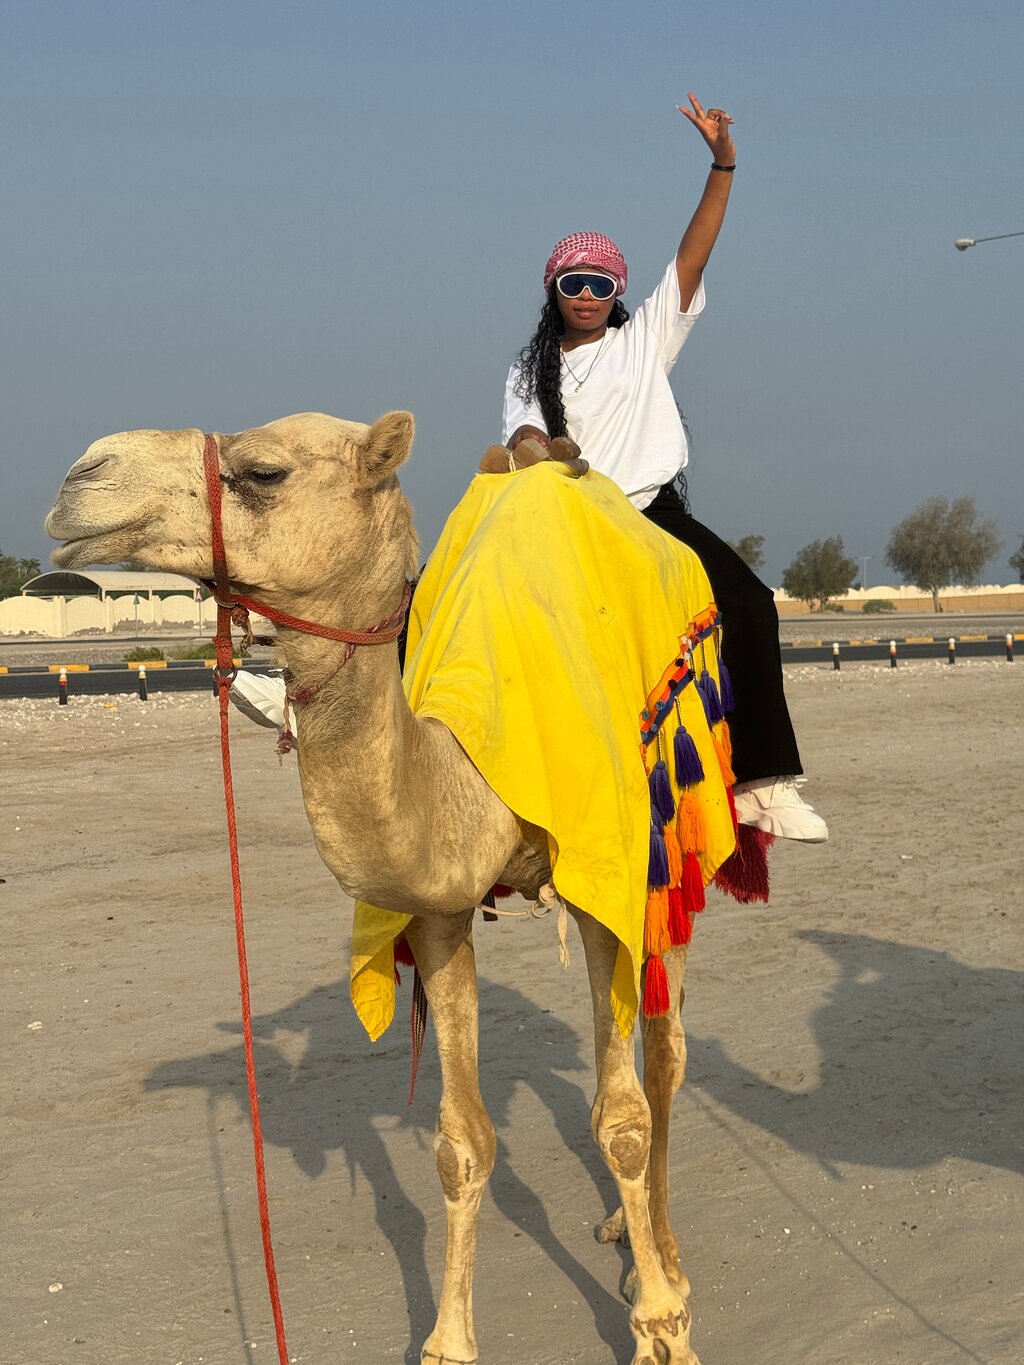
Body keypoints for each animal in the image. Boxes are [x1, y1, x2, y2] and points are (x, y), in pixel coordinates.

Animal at [47, 410, 727, 1365]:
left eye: (264, 470)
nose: (82, 476)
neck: (472, 768)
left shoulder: (606, 872)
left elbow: (621, 1119)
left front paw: (664, 1326)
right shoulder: (438, 909)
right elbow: (461, 1140)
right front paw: (446, 1340)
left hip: (671, 847)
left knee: (663, 1054)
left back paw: (657, 1253)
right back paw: (618, 1234)